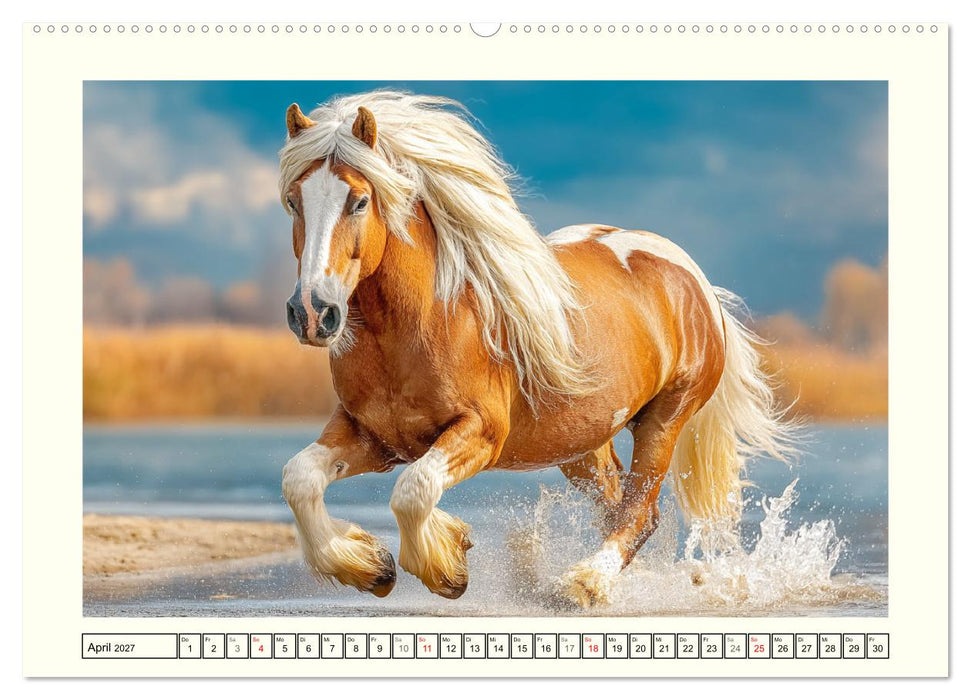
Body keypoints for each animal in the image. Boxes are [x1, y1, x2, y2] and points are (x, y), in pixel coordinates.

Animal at [278, 91, 794, 607]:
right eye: (292, 201)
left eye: (360, 200)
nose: (312, 312)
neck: (421, 323)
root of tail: (698, 284)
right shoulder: (371, 435)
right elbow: (299, 479)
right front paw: (370, 566)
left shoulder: (481, 432)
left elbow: (414, 489)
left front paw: (448, 566)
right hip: (581, 444)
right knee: (616, 506)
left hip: (664, 419)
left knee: (640, 511)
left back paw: (584, 582)